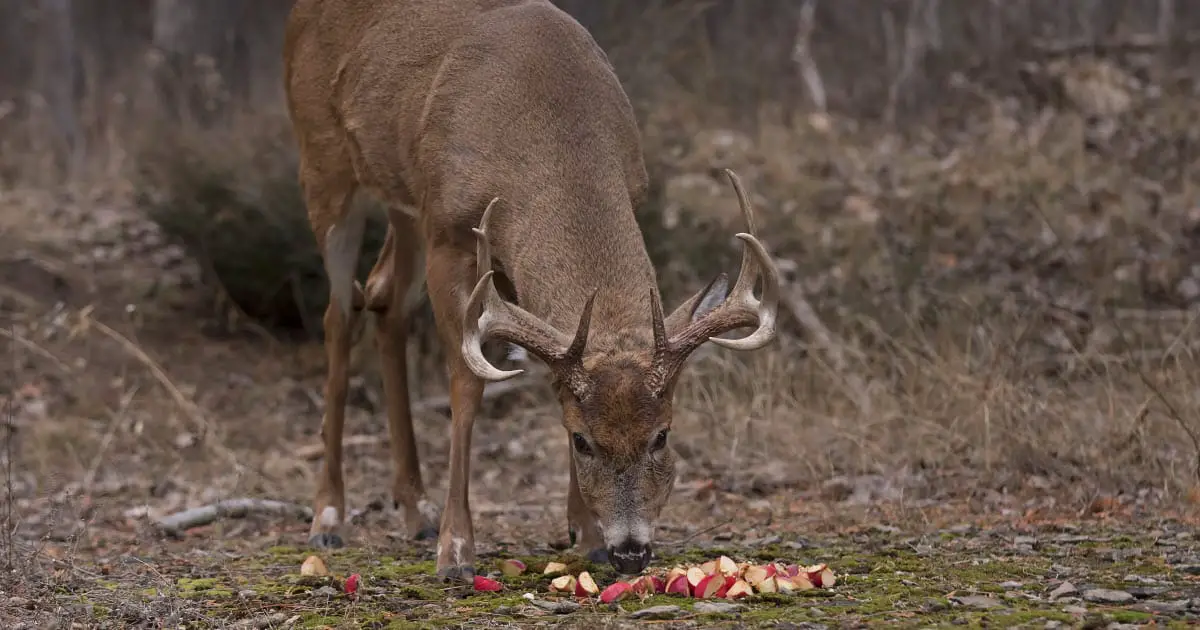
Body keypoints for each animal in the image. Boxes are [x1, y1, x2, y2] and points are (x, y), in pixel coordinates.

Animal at [285, 0, 782, 583]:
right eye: (582, 441)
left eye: (661, 435)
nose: (631, 552)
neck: (548, 123)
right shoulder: (449, 234)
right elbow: (466, 383)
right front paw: (456, 550)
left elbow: (553, 373)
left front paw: (585, 534)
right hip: (323, 166)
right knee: (338, 314)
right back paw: (329, 517)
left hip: (402, 200)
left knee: (384, 295)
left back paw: (417, 510)